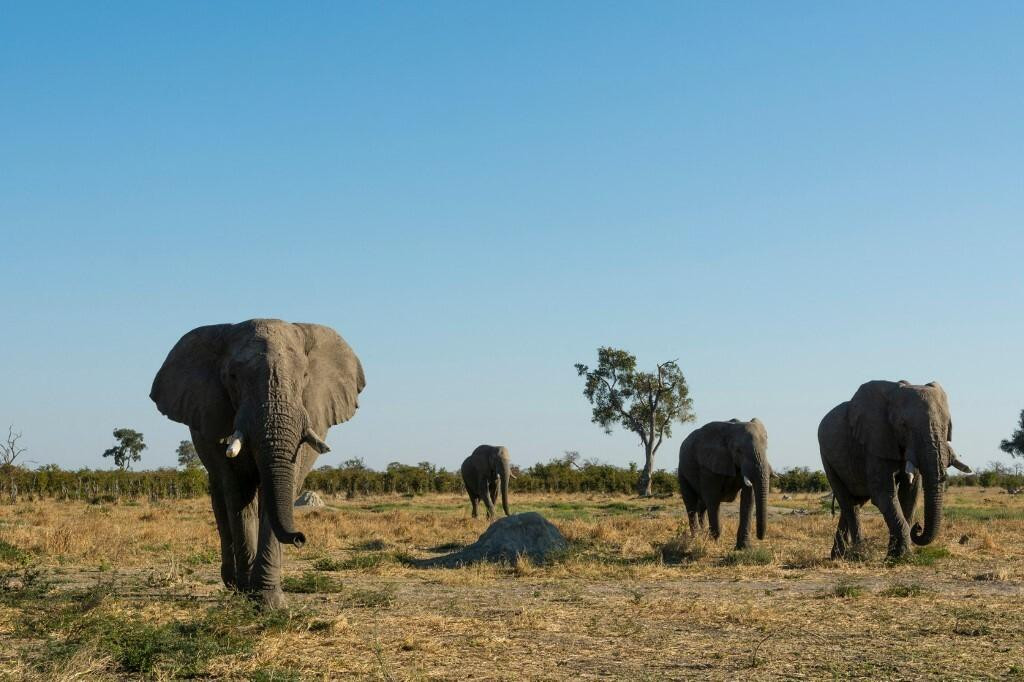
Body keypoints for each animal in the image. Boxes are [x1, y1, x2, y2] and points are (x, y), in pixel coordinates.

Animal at [149, 319, 364, 606]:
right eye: (232, 377)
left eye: (305, 377)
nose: (300, 537)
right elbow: (239, 494)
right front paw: (247, 591)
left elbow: (280, 493)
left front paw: (269, 600)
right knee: (221, 498)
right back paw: (232, 582)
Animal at [675, 417, 770, 548]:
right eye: (738, 450)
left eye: (766, 448)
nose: (760, 537)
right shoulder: (708, 465)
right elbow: (713, 498)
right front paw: (714, 542)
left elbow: (748, 499)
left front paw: (744, 548)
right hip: (682, 471)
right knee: (691, 503)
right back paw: (696, 538)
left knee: (702, 506)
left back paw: (703, 534)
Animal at [819, 376, 970, 557]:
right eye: (903, 425)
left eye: (947, 425)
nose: (918, 527)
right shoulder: (875, 441)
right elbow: (884, 494)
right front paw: (901, 556)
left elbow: (910, 493)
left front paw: (896, 555)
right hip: (826, 457)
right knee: (848, 503)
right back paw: (859, 555)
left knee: (855, 501)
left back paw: (838, 556)